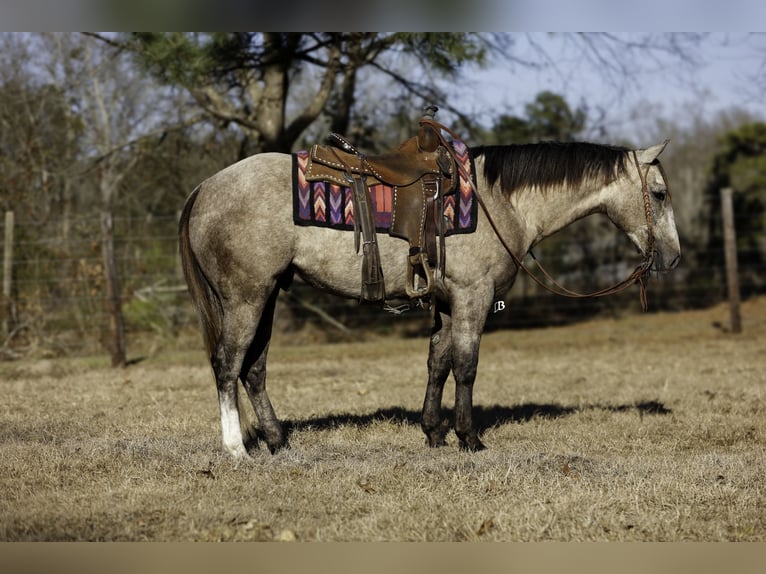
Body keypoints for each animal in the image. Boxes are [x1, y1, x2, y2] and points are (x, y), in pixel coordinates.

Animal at [182, 141, 684, 464]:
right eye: (659, 194)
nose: (674, 257)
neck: (499, 203)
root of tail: (204, 187)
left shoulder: (444, 303)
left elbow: (438, 363)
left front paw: (433, 433)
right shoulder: (471, 296)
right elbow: (466, 365)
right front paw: (468, 438)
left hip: (266, 296)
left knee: (254, 369)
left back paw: (278, 441)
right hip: (245, 298)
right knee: (228, 365)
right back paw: (236, 449)